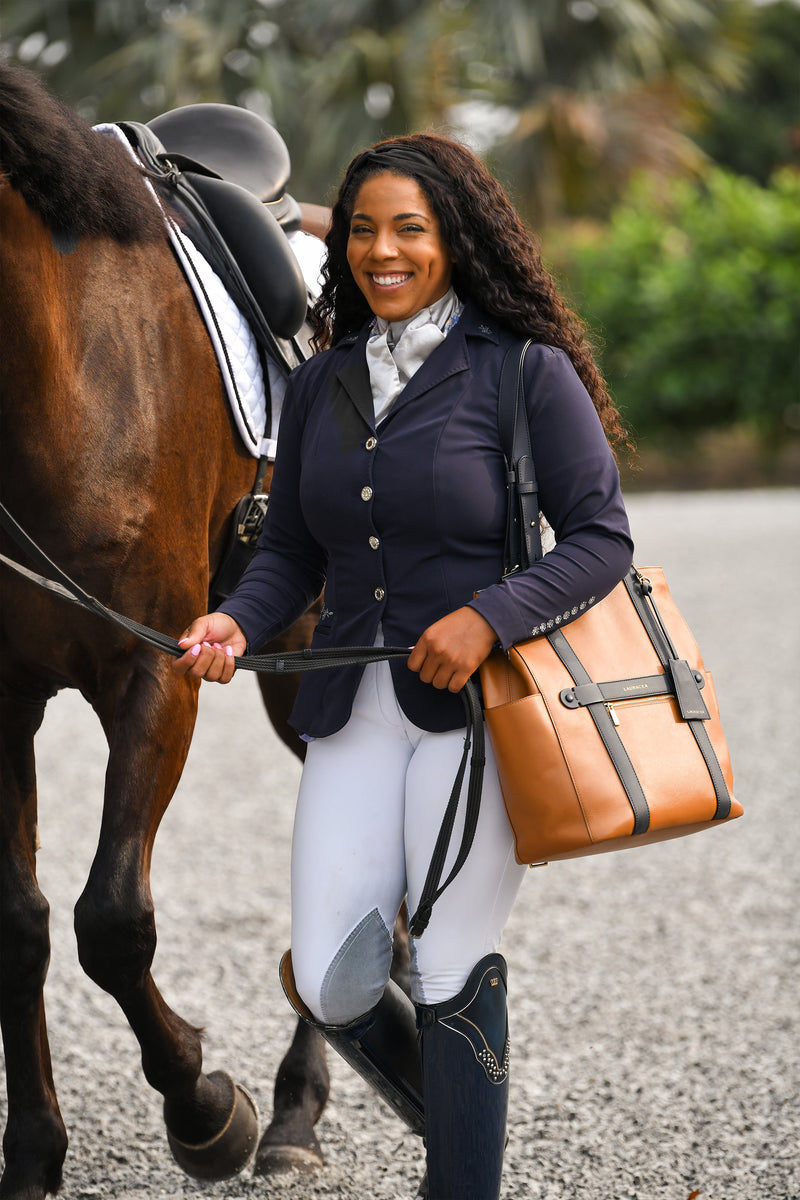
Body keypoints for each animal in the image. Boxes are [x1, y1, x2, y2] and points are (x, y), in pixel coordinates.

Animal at [0, 65, 335, 1200]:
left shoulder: (159, 674)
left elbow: (110, 921)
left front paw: (205, 1109)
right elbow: (19, 925)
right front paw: (33, 1152)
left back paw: (297, 1104)